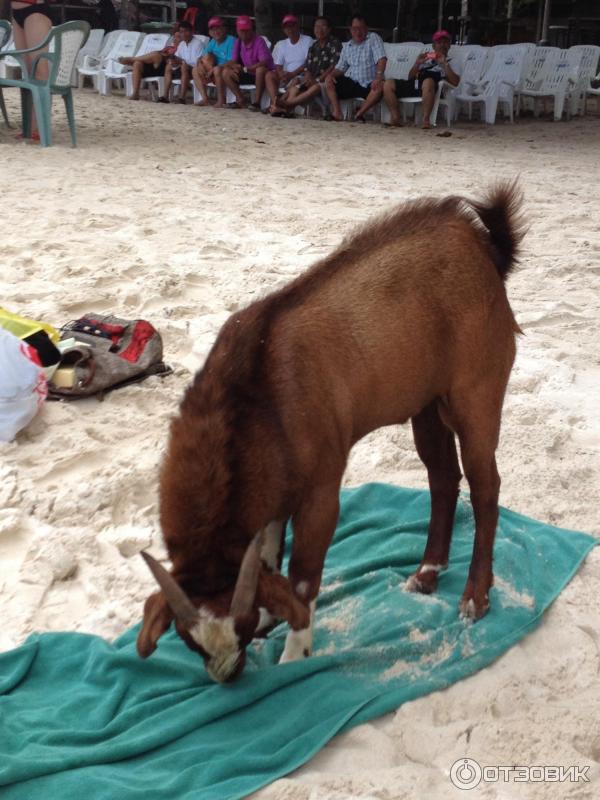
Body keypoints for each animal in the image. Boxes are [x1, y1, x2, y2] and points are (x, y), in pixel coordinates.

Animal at [137, 181, 524, 680]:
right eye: (188, 639)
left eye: (239, 627)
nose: (227, 674)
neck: (256, 394)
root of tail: (482, 248)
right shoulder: (272, 492)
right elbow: (268, 555)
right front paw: (274, 614)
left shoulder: (320, 491)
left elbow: (303, 576)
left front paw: (294, 652)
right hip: (426, 404)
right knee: (442, 478)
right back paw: (427, 572)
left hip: (475, 393)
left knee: (484, 486)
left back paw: (475, 596)